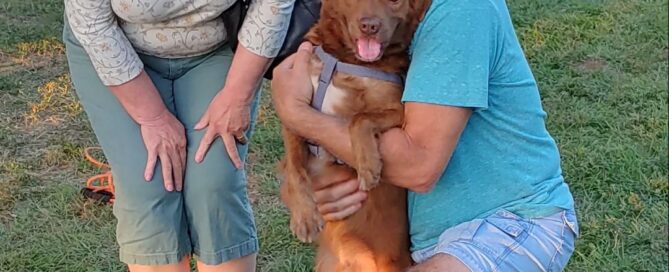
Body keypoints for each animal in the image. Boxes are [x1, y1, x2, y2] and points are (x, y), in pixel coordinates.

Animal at [276, 0, 428, 270]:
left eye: (395, 1)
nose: (370, 26)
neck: (347, 62)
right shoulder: (294, 112)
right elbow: (295, 168)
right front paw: (304, 216)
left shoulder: (399, 111)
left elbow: (360, 119)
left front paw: (368, 167)